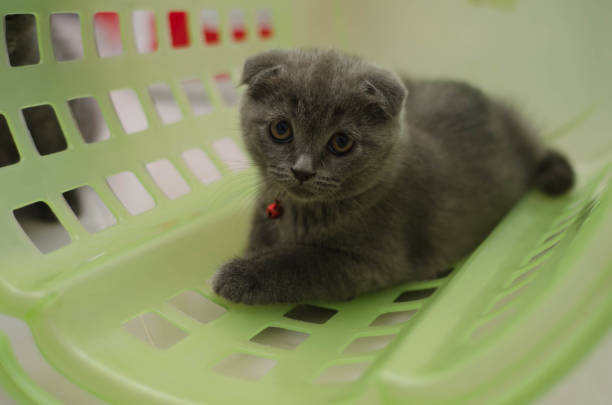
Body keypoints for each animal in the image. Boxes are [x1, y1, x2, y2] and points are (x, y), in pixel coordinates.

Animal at [212, 48, 572, 304]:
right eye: (281, 129)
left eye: (341, 142)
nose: (302, 170)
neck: (301, 214)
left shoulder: (370, 262)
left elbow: (301, 262)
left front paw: (237, 275)